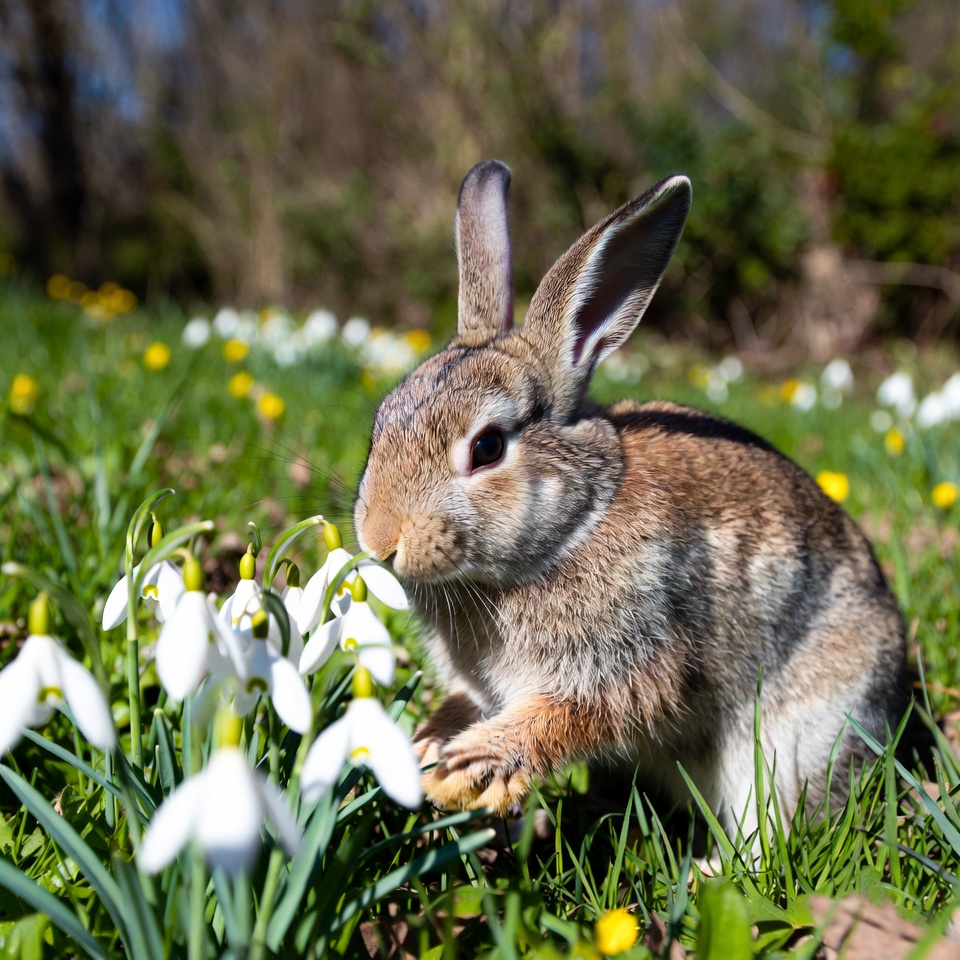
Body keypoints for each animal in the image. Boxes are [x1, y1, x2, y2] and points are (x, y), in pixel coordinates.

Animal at [354, 160, 907, 837]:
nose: (380, 541)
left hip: (791, 742)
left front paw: (475, 766)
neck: (574, 525)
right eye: (382, 422)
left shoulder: (638, 654)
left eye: (486, 448)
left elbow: (588, 711)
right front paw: (426, 748)